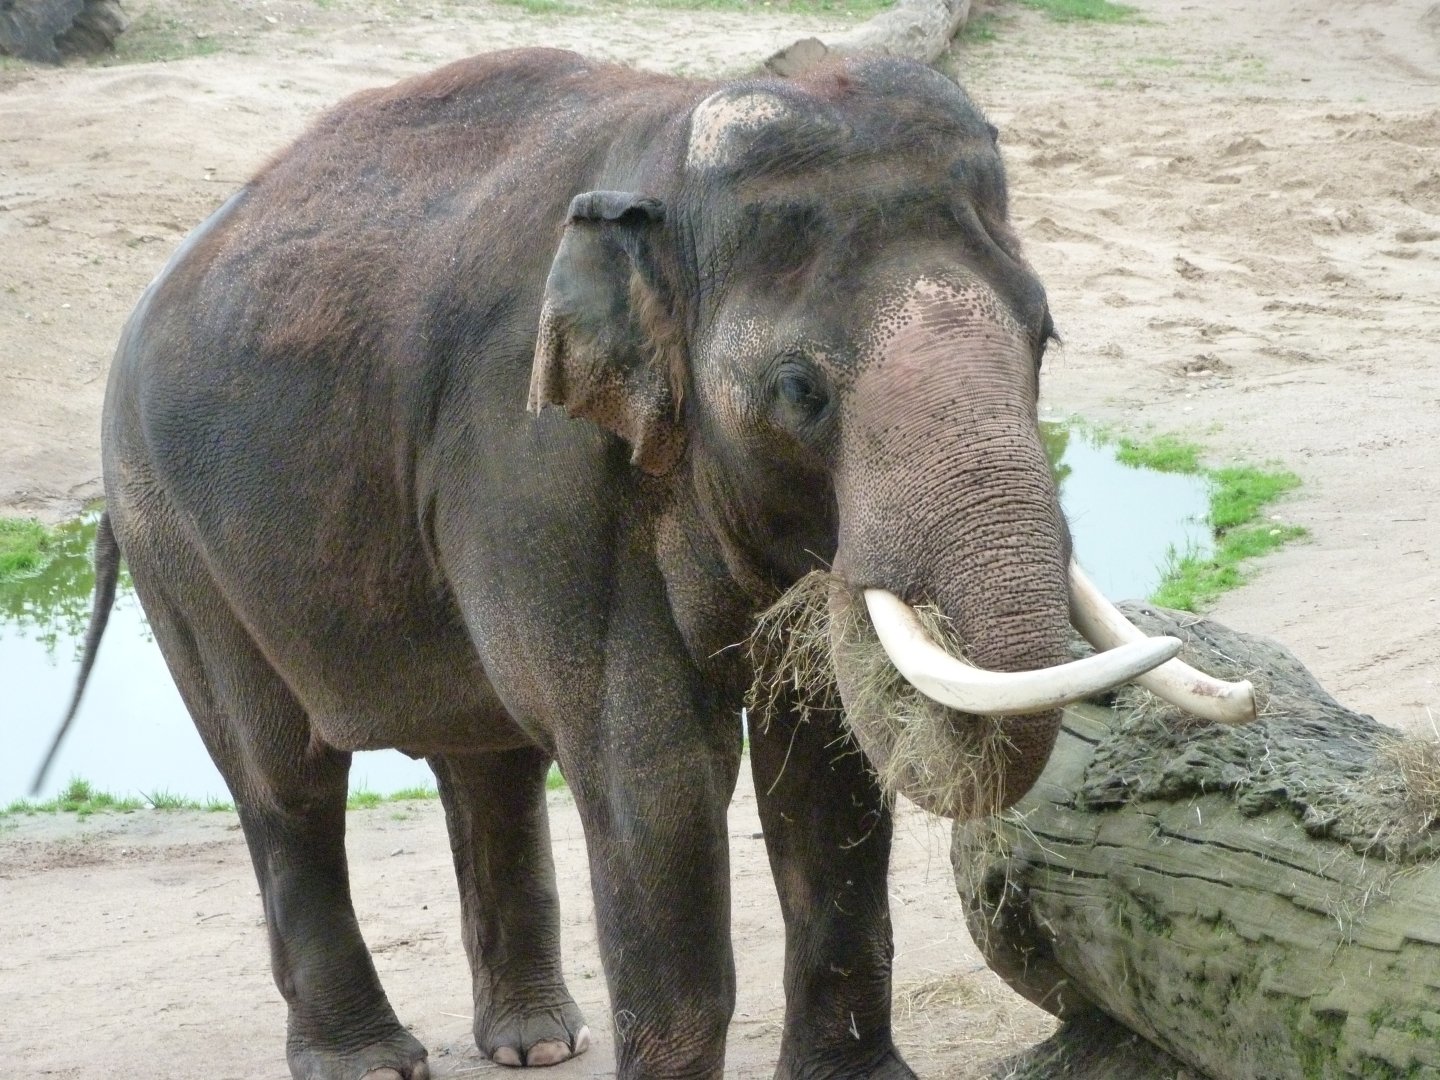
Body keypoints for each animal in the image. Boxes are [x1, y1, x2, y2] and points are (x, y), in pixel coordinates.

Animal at [48, 47, 1254, 1080]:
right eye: (800, 391)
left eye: (1043, 339)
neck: (669, 156)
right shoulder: (535, 464)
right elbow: (657, 779)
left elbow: (825, 769)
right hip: (174, 539)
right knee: (283, 779)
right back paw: (372, 1061)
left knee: (486, 762)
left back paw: (537, 1044)